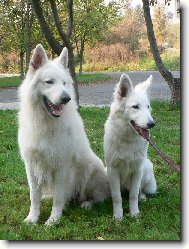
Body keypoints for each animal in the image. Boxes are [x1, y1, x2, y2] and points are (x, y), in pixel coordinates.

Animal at [18, 44, 109, 226]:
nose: (66, 98)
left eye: (65, 83)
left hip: (92, 169)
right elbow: (34, 196)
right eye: (49, 82)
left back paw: (87, 203)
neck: (46, 123)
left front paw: (53, 219)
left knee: (97, 197)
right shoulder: (32, 166)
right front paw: (33, 218)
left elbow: (59, 197)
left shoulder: (61, 166)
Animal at [103, 73, 157, 220]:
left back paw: (142, 197)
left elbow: (133, 195)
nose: (152, 124)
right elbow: (117, 197)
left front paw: (134, 213)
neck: (128, 140)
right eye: (135, 107)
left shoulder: (137, 170)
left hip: (146, 168)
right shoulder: (112, 170)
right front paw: (118, 216)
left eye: (148, 107)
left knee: (140, 191)